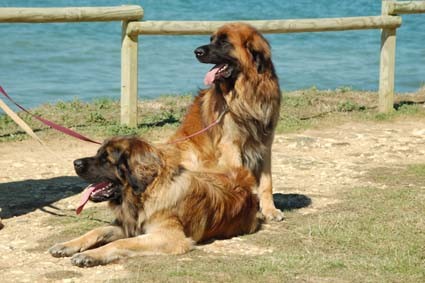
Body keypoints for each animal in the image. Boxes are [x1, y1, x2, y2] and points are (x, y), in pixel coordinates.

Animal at [48, 139, 260, 268]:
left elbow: (120, 243)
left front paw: (91, 255)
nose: (75, 163)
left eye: (106, 159)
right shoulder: (129, 225)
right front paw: (67, 245)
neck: (145, 193)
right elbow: (95, 231)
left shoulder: (170, 237)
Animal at [168, 22, 282, 222]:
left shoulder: (265, 144)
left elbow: (267, 182)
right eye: (211, 39)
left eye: (223, 42)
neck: (246, 92)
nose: (196, 51)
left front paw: (270, 210)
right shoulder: (230, 145)